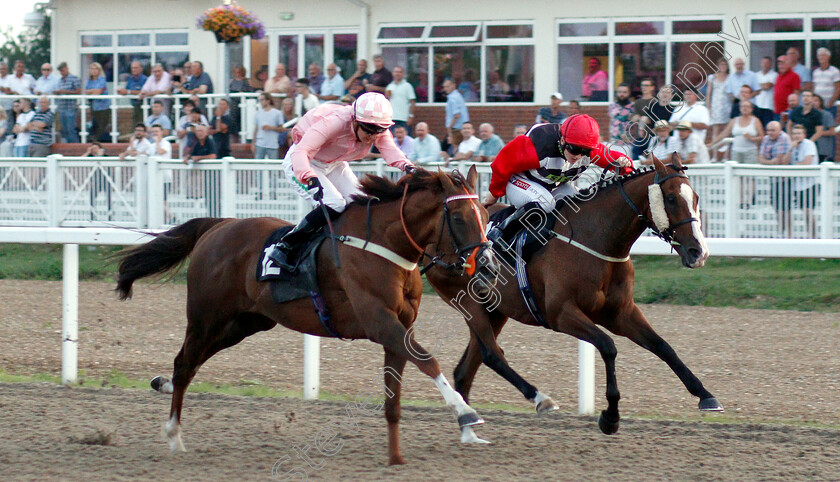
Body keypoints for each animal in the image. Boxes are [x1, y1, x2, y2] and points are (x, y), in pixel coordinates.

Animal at [117, 166, 498, 464]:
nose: (489, 266)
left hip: (245, 322)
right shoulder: (380, 322)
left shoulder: (399, 328)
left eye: (486, 214)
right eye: (460, 218)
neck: (385, 244)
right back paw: (173, 433)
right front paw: (466, 415)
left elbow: (395, 395)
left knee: (192, 362)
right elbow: (428, 360)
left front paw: (397, 457)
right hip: (205, 316)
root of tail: (218, 226)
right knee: (185, 362)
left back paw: (162, 384)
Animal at [426, 155, 720, 436]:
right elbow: (608, 346)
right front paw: (610, 417)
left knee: (466, 370)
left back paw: (469, 424)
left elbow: (663, 346)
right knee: (491, 354)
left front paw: (706, 395)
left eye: (695, 198)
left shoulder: (621, 313)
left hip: (496, 310)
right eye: (670, 198)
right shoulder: (561, 314)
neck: (596, 239)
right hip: (469, 303)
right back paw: (538, 399)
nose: (699, 252)